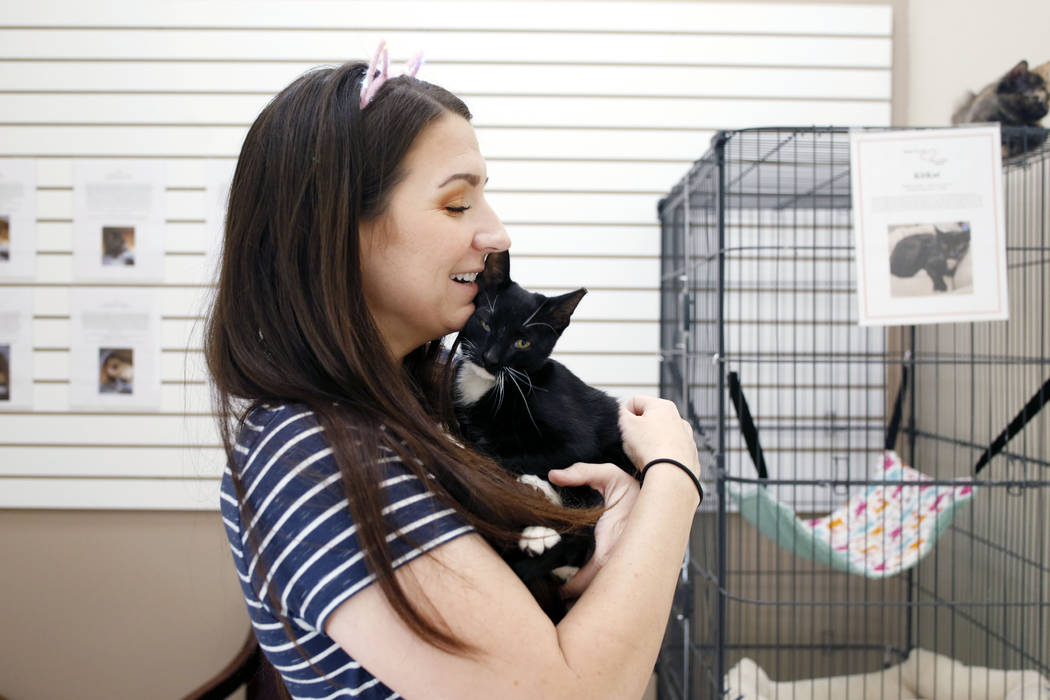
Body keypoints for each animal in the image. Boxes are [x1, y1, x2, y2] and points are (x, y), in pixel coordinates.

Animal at [451, 248, 630, 621]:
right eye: (486, 323)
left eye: (523, 342)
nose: (490, 358)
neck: (492, 386)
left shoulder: (575, 436)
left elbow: (516, 453)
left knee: (586, 530)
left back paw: (541, 527)